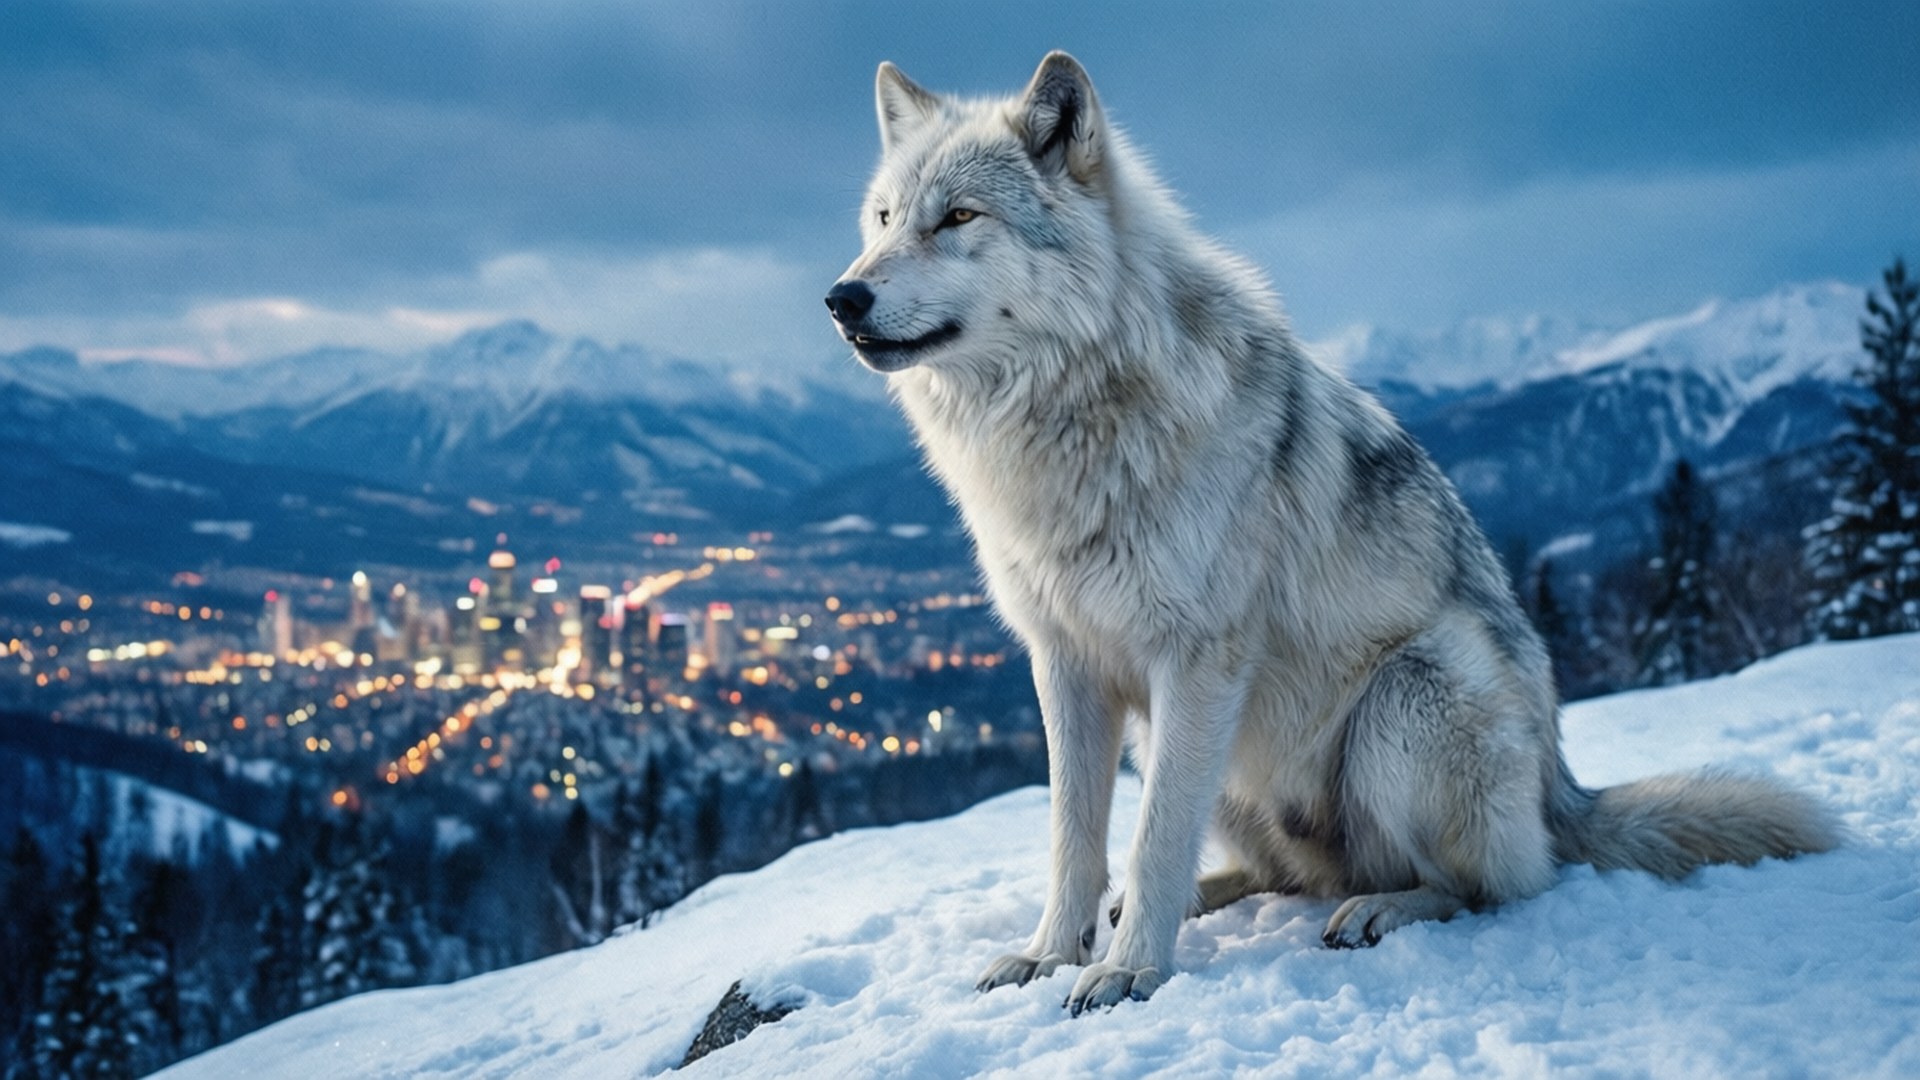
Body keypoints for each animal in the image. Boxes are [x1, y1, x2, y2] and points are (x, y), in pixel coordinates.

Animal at [825, 52, 1838, 1014]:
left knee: (1483, 886)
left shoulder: (1196, 662)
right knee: (1281, 872)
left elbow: (1152, 840)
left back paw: (1377, 909)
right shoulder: (1066, 664)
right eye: (882, 219)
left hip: (1408, 695)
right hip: (1199, 756)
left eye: (957, 217)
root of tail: (1564, 795)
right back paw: (1204, 898)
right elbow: (1076, 839)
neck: (1072, 421)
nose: (842, 298)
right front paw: (1051, 954)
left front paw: (1130, 974)